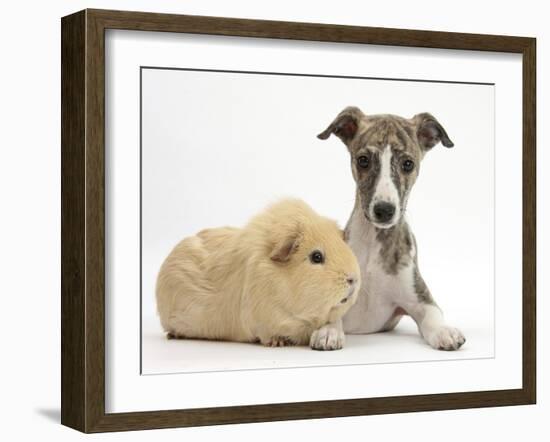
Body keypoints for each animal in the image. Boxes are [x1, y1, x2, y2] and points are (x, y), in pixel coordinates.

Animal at [310, 106, 466, 352]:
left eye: (408, 164)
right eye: (363, 160)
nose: (384, 210)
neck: (374, 243)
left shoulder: (419, 297)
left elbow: (433, 315)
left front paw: (444, 331)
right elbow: (331, 310)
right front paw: (329, 331)